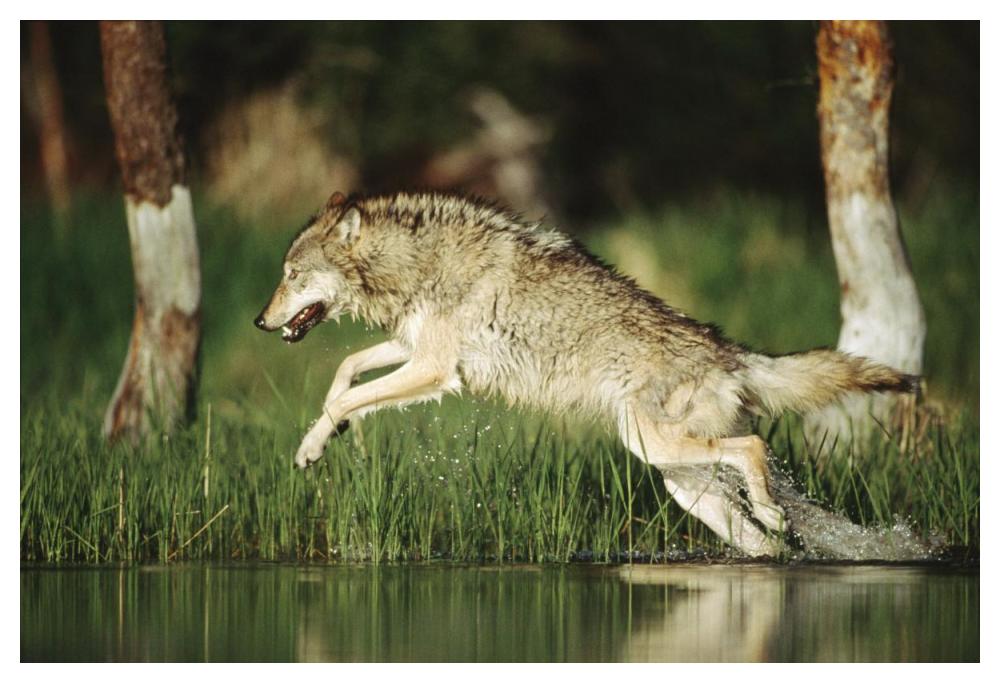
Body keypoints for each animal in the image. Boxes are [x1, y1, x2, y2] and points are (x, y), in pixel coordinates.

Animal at [255, 190, 919, 556]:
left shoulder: (436, 370)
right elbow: (346, 371)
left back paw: (774, 508)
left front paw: (320, 439)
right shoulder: (416, 351)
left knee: (754, 448)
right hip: (680, 479)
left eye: (290, 275)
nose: (260, 321)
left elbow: (345, 396)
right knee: (762, 539)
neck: (417, 263)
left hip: (658, 448)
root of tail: (729, 353)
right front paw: (321, 439)